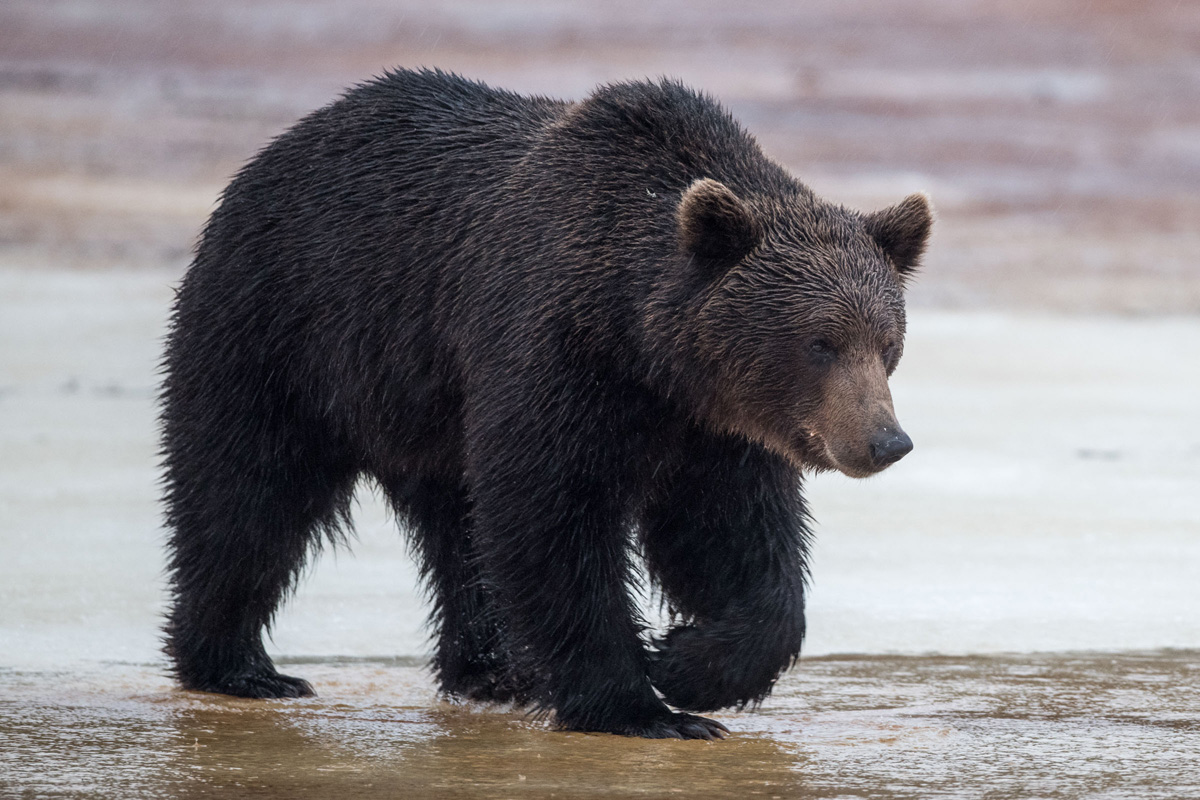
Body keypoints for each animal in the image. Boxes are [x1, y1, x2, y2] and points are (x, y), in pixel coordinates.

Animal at [159, 67, 926, 738]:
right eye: (821, 342)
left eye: (888, 341)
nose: (885, 441)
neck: (645, 345)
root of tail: (279, 148)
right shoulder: (556, 352)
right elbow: (552, 514)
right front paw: (642, 704)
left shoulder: (712, 426)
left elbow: (734, 538)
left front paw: (686, 664)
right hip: (291, 331)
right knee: (247, 492)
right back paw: (240, 666)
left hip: (425, 409)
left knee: (457, 529)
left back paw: (496, 670)